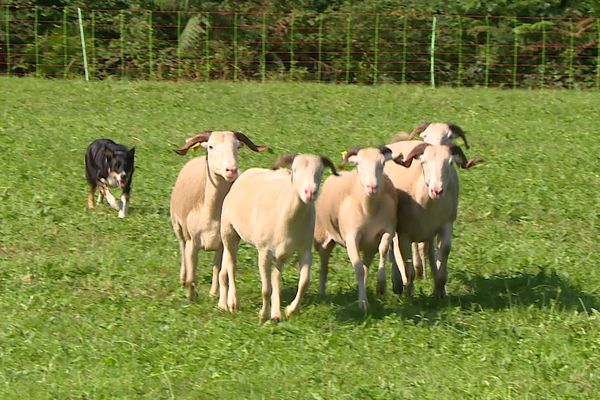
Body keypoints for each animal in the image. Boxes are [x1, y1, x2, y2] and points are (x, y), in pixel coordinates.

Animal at [170, 130, 266, 300]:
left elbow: (219, 270)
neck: (211, 216)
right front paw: (191, 296)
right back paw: (182, 280)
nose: (231, 170)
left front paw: (214, 294)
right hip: (177, 225)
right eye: (211, 146)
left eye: (237, 146)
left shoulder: (224, 243)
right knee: (181, 247)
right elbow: (191, 274)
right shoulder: (192, 242)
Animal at [218, 154, 338, 324]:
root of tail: (248, 172)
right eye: (294, 170)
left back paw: (275, 314)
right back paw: (233, 303)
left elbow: (304, 282)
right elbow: (266, 289)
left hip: (281, 253)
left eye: (320, 171)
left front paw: (290, 310)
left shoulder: (305, 250)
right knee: (231, 265)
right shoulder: (264, 251)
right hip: (229, 231)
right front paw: (263, 315)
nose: (310, 192)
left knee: (276, 276)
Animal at [314, 147, 404, 310]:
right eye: (358, 165)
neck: (369, 209)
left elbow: (383, 250)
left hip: (369, 246)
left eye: (382, 164)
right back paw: (321, 294)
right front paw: (363, 303)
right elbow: (358, 270)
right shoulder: (351, 238)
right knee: (324, 266)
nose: (372, 187)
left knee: (366, 266)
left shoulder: (387, 230)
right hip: (323, 239)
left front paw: (381, 286)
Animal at [384, 141, 482, 296]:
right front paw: (409, 293)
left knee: (429, 251)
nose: (437, 191)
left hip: (429, 232)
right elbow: (408, 268)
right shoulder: (404, 234)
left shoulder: (446, 225)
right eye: (423, 162)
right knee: (393, 252)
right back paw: (398, 284)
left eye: (450, 163)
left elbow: (443, 252)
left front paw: (439, 291)